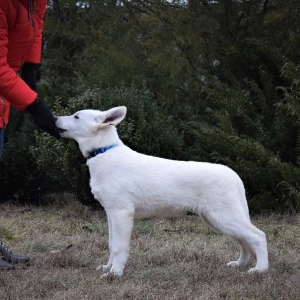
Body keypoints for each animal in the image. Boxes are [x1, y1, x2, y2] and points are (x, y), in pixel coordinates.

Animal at [55, 106, 268, 276]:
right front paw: (108, 268)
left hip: (223, 216)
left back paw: (260, 270)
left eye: (76, 116)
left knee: (258, 236)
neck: (103, 152)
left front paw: (115, 273)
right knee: (244, 240)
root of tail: (235, 176)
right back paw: (239, 264)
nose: (55, 118)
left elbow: (119, 247)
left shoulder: (121, 213)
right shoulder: (111, 213)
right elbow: (111, 244)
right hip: (217, 219)